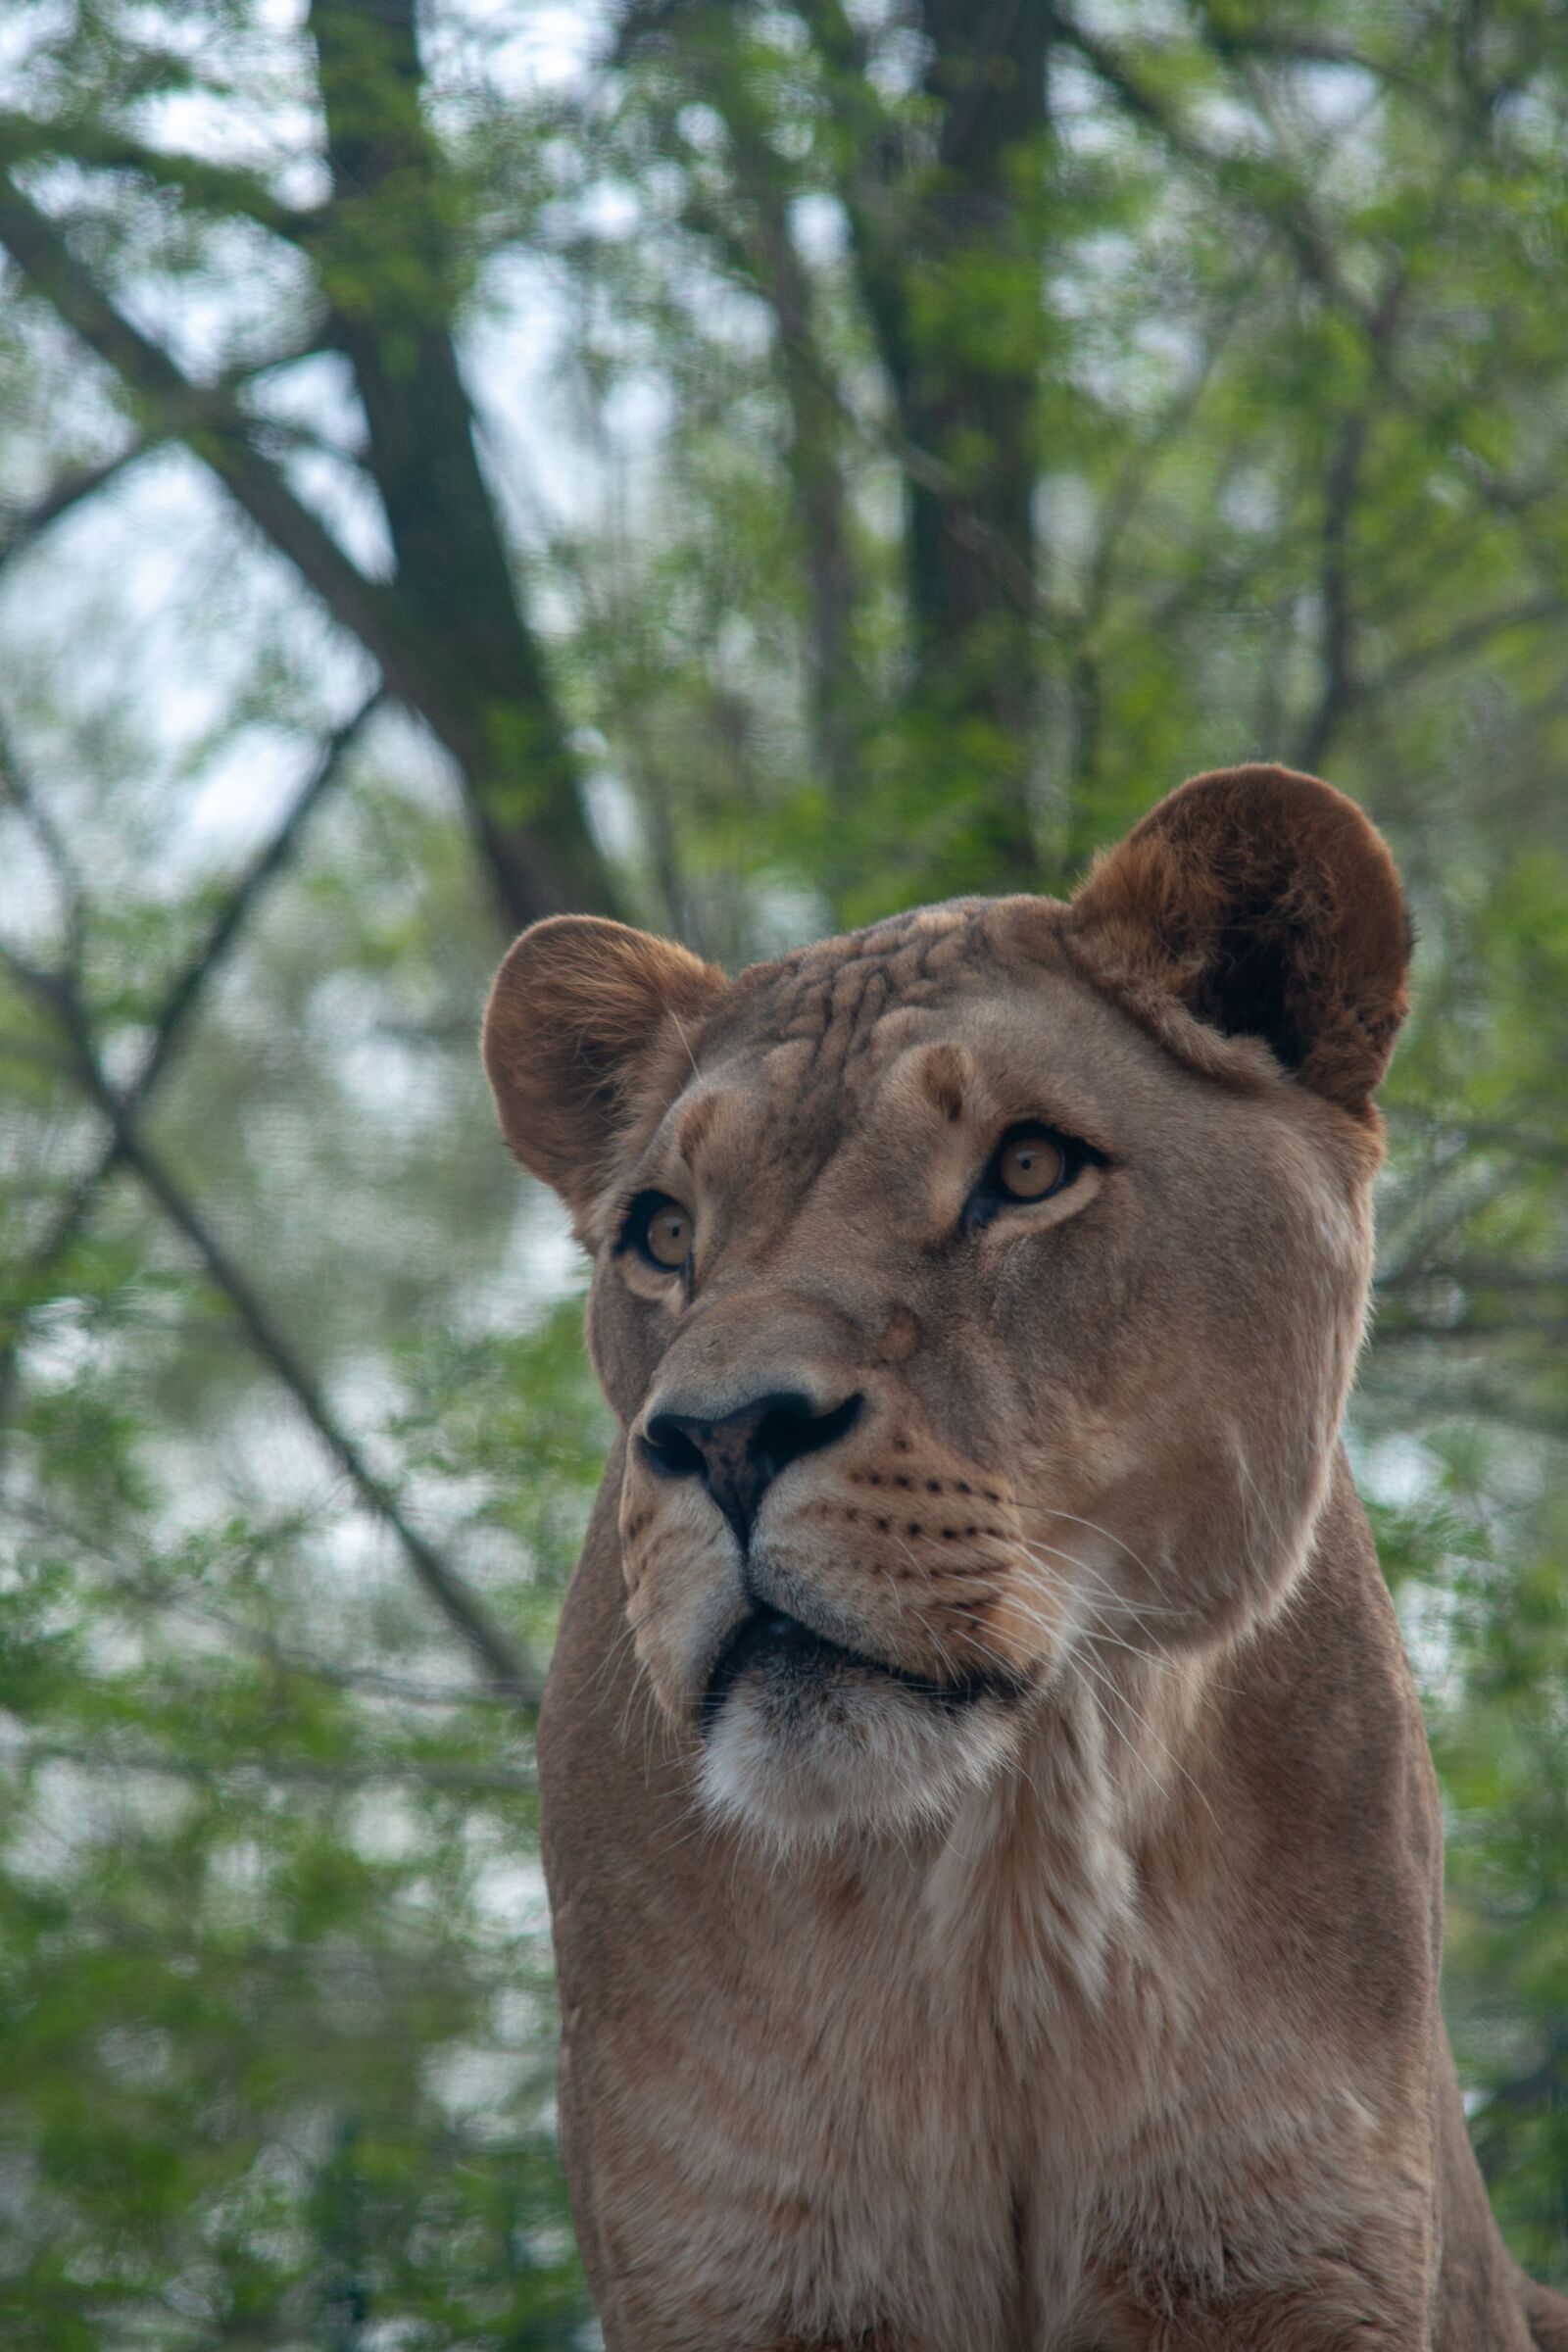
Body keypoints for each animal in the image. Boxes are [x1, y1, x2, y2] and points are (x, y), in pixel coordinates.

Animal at [482, 767, 1568, 2351]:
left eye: (1029, 1166)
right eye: (663, 1233)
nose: (722, 1438)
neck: (1008, 1871)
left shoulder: (1282, 2257)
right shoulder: (745, 2268)